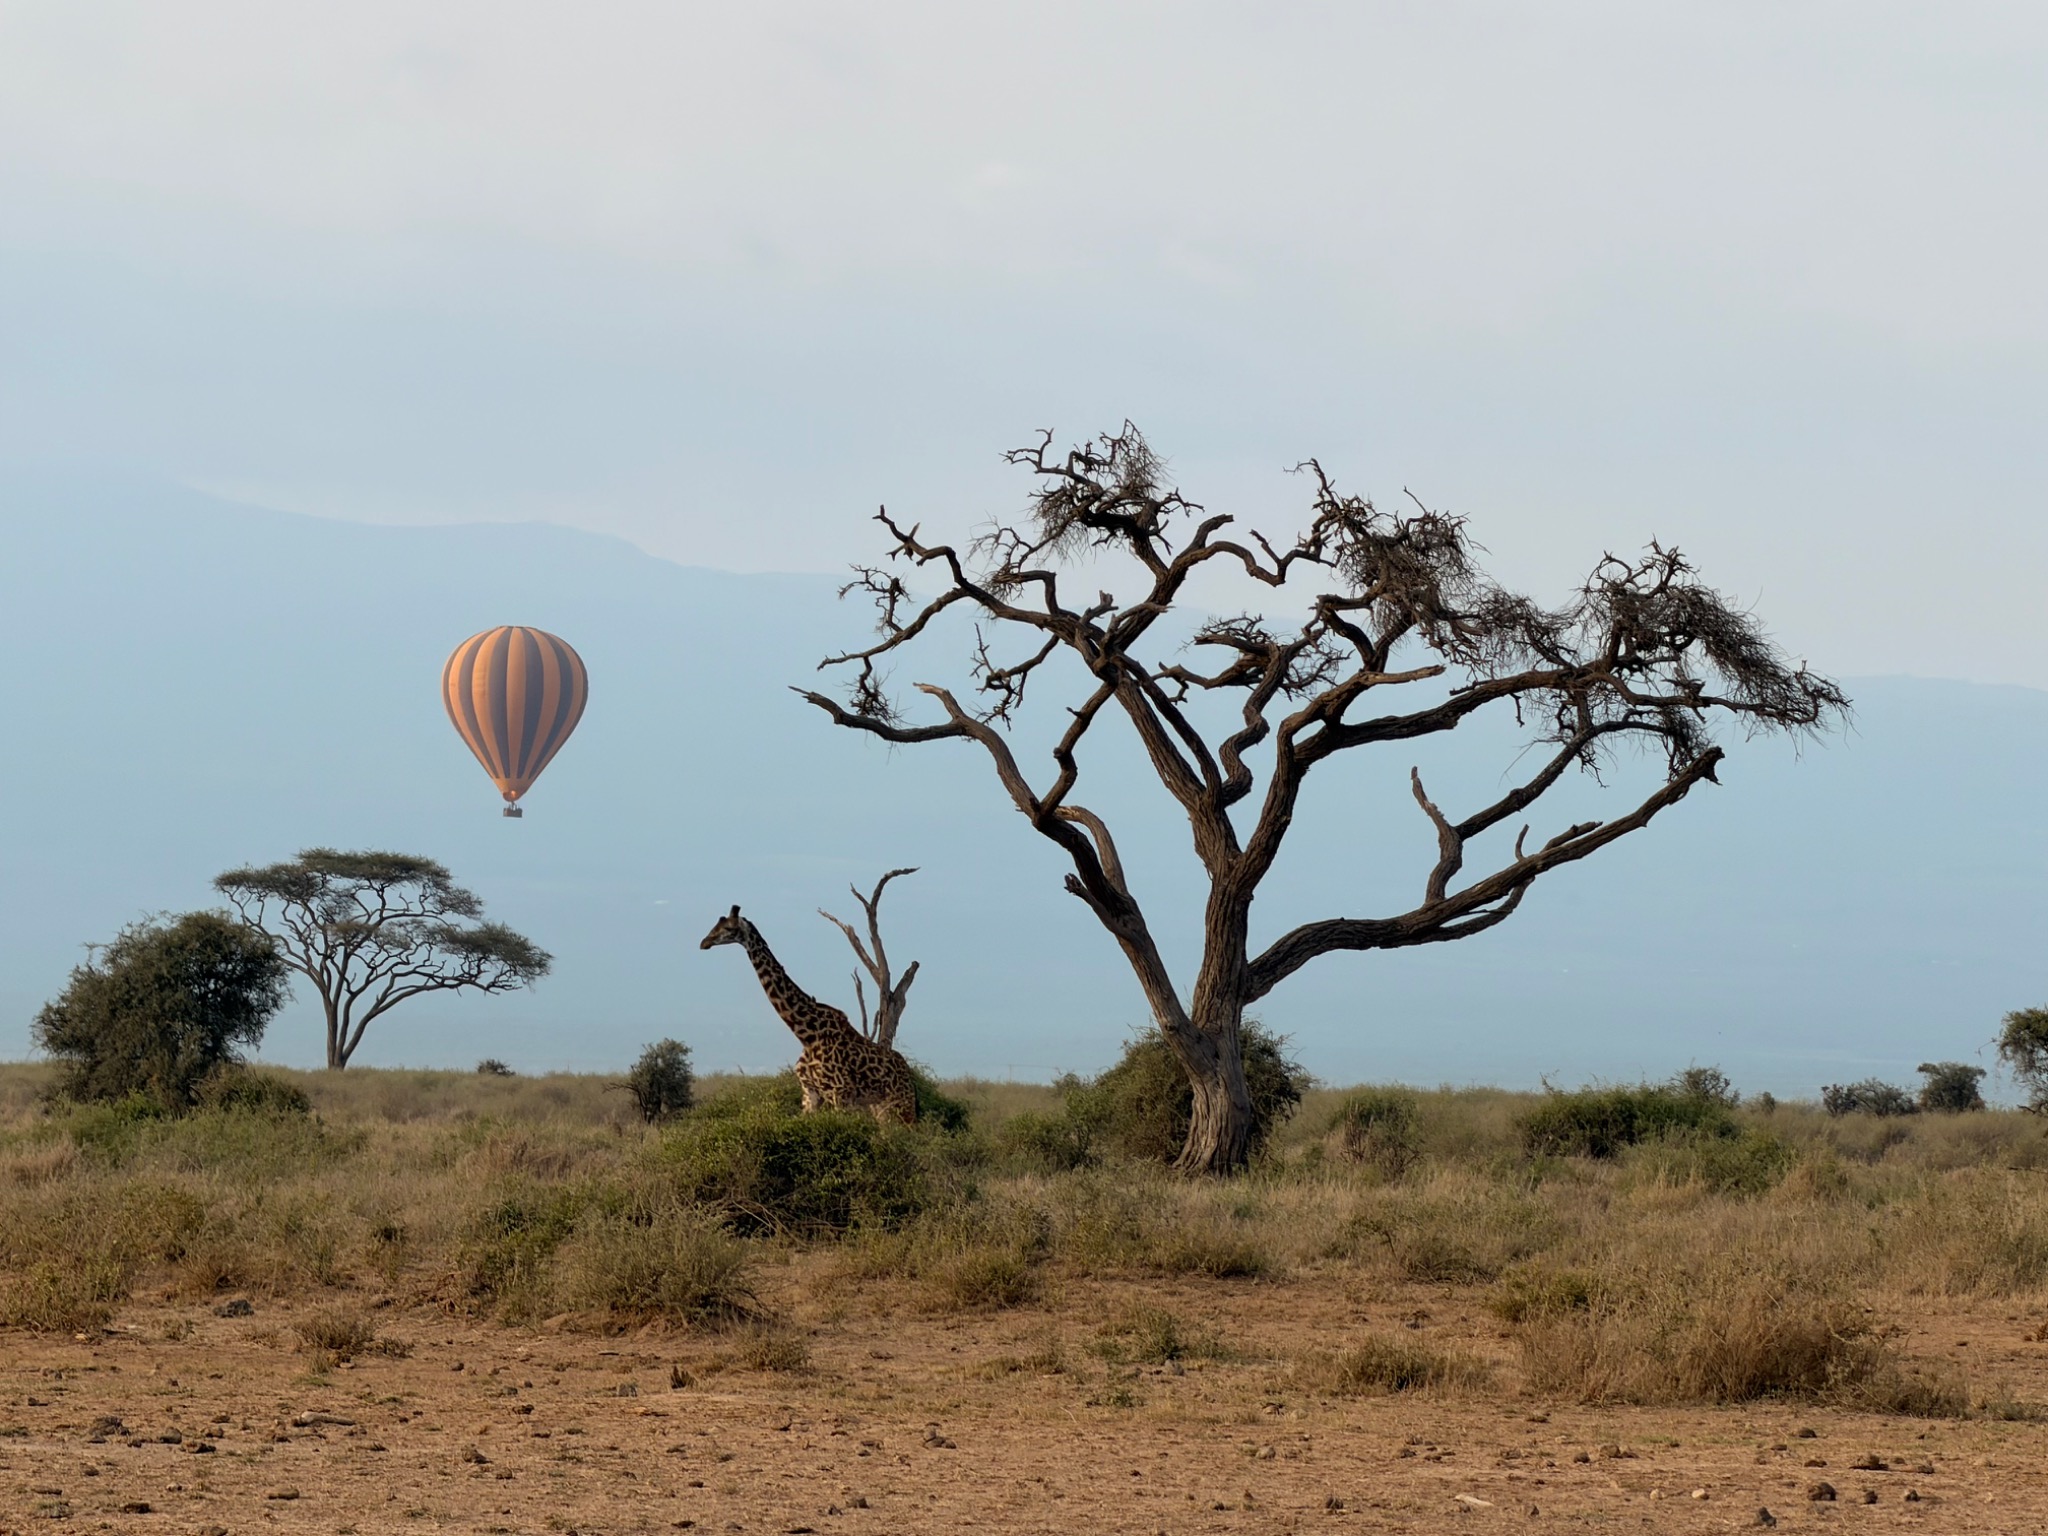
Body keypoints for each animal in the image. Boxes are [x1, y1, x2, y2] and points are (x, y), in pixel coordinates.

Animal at [700, 905, 918, 1124]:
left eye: (728, 928)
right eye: (716, 923)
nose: (704, 942)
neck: (807, 1034)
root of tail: (908, 1073)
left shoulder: (841, 1094)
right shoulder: (809, 1093)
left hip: (901, 1104)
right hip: (879, 1107)